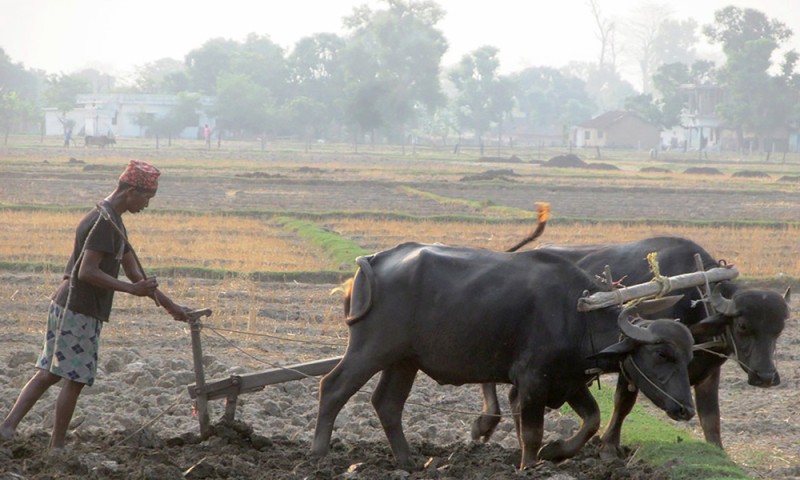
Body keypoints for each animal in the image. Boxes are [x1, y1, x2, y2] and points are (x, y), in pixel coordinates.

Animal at [310, 246, 696, 470]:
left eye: (688, 356)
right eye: (662, 354)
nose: (685, 410)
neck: (577, 315)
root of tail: (374, 262)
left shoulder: (568, 381)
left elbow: (591, 420)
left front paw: (556, 451)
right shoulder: (532, 381)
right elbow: (532, 432)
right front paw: (531, 464)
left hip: (404, 360)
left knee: (387, 403)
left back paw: (408, 462)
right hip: (371, 349)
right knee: (333, 387)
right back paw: (320, 455)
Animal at [472, 238, 792, 456]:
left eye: (779, 329)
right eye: (743, 326)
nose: (766, 377)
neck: (693, 298)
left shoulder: (709, 370)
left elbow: (711, 416)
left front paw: (719, 453)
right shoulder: (633, 360)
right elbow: (623, 403)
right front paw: (609, 446)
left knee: (514, 395)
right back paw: (485, 422)